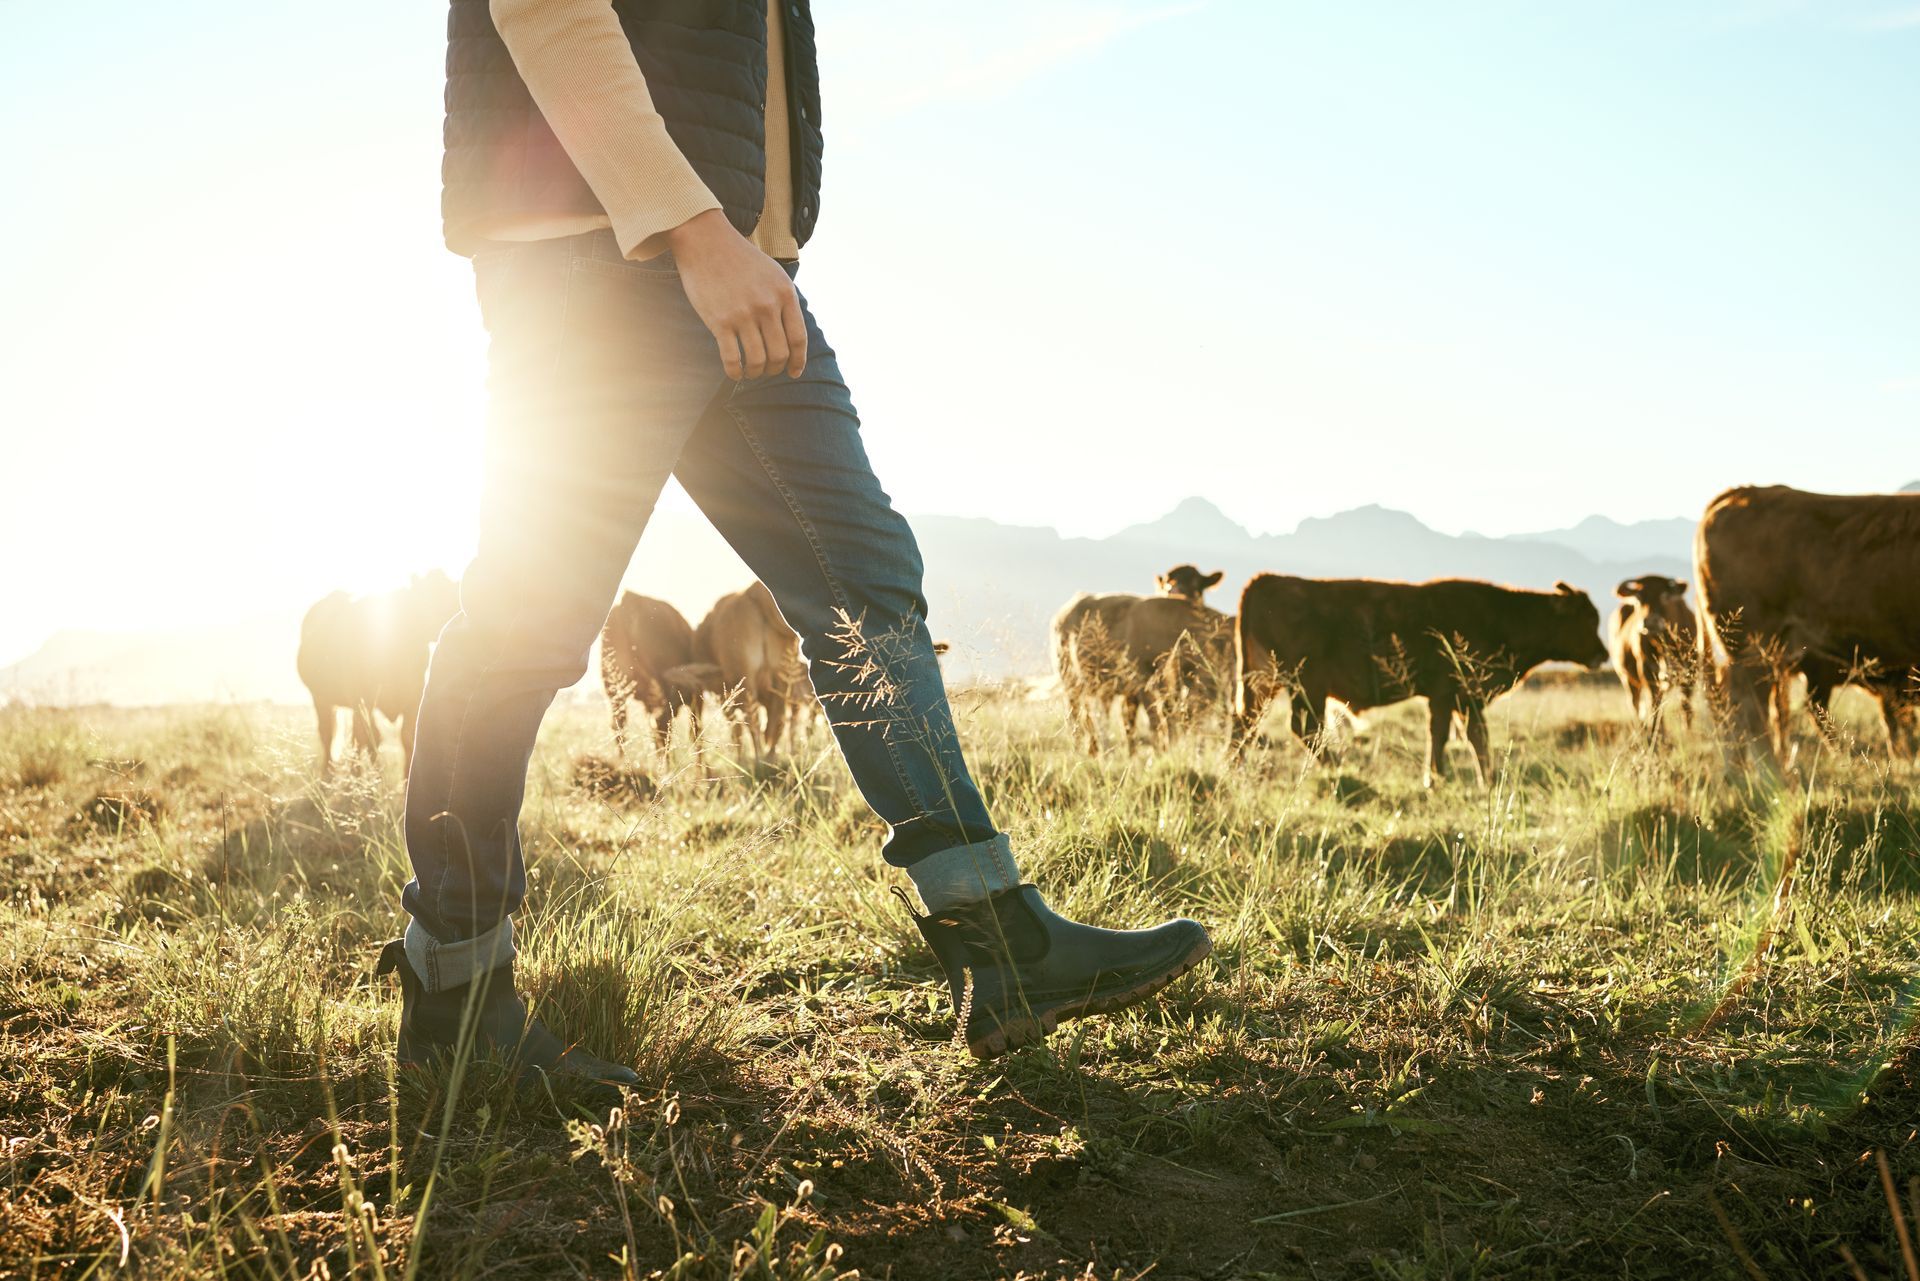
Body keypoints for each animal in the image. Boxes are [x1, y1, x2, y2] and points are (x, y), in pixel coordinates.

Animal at [297, 570, 461, 778]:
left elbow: (407, 737)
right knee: (330, 734)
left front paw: (404, 778)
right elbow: (367, 737)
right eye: (432, 593)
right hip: (321, 697)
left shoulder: (414, 698)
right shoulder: (360, 698)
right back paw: (332, 772)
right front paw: (364, 778)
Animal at [695, 582, 809, 758]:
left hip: (744, 678)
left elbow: (736, 727)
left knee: (753, 721)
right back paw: (771, 756)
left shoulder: (722, 690)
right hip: (782, 675)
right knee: (778, 720)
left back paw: (758, 760)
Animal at [1050, 566, 1232, 753]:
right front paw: (1162, 752)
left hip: (1102, 686)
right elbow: (1156, 721)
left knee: (1099, 719)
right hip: (1070, 679)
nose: (1176, 592)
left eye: (1197, 585)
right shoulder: (1143, 680)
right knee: (1077, 718)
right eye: (1169, 583)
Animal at [1231, 576, 1608, 786]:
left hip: (1265, 684)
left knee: (1246, 723)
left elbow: (1451, 736)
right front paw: (1462, 779)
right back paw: (1340, 767)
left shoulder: (1449, 699)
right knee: (1304, 728)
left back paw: (1233, 769)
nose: (1603, 654)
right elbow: (1467, 737)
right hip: (1304, 683)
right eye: (1586, 620)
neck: (1503, 616)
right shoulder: (1458, 695)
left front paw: (1443, 778)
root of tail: (1265, 580)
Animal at [1607, 575, 1698, 734]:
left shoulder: (1691, 669)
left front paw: (1687, 731)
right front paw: (1658, 731)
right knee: (1635, 702)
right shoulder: (1646, 668)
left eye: (1664, 596)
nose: (1651, 622)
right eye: (1639, 598)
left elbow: (1685, 702)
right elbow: (1654, 700)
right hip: (1627, 677)